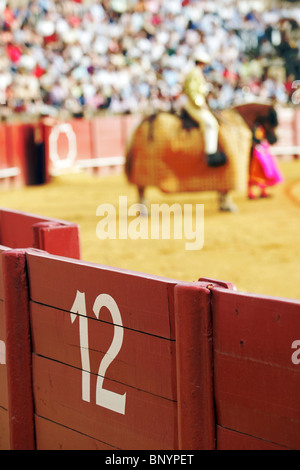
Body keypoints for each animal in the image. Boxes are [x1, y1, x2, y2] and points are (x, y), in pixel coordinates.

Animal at [125, 103, 278, 214]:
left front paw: (223, 204)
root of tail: (142, 122)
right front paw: (229, 205)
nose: (274, 139)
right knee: (141, 187)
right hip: (143, 168)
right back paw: (144, 210)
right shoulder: (232, 167)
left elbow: (223, 188)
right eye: (273, 122)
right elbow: (227, 189)